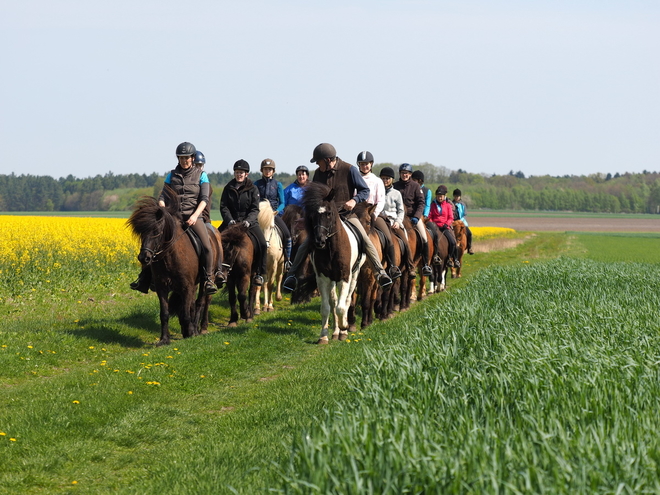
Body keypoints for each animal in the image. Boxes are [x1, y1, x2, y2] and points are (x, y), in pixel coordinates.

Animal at [127, 188, 222, 346]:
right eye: (141, 232)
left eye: (157, 231)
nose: (144, 258)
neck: (169, 257)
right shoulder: (162, 288)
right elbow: (165, 313)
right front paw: (164, 339)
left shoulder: (186, 287)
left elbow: (186, 313)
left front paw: (189, 334)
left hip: (204, 280)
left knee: (199, 303)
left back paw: (195, 330)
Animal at [300, 182, 366, 344]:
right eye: (312, 215)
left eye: (328, 213)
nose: (319, 241)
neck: (330, 249)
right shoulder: (323, 278)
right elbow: (326, 308)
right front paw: (323, 336)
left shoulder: (344, 277)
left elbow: (341, 307)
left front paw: (344, 326)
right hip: (332, 280)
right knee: (334, 302)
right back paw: (336, 332)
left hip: (354, 275)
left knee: (346, 301)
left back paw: (343, 330)